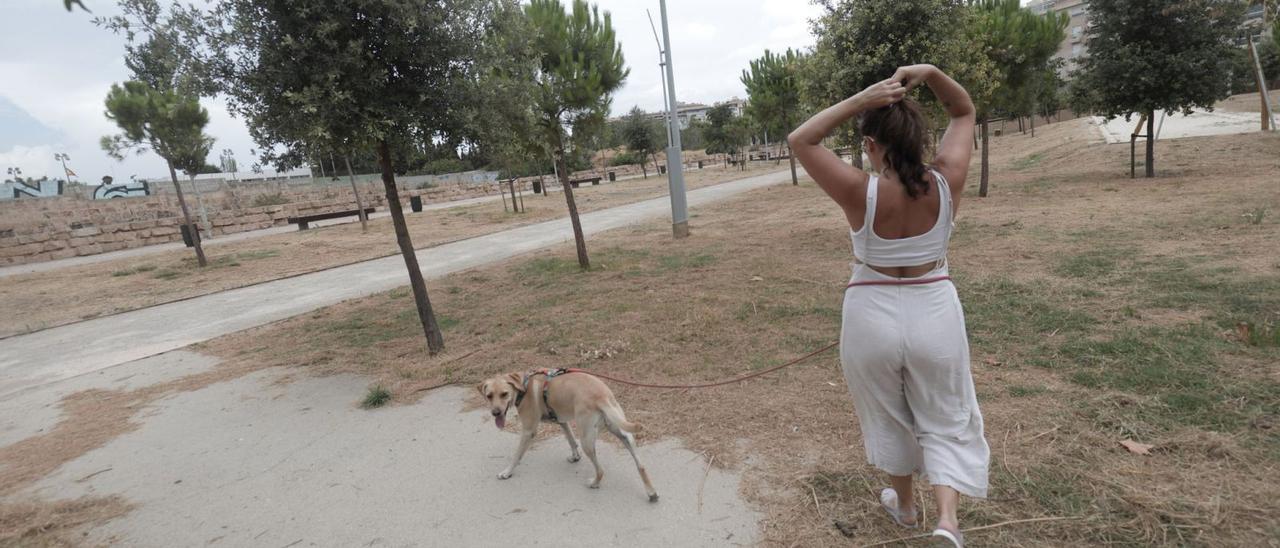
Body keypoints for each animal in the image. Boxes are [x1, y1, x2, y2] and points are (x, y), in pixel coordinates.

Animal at [481, 371, 660, 501]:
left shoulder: (528, 431)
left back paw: (594, 483)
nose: (495, 413)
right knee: (641, 465)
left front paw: (507, 472)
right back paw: (651, 492)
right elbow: (571, 440)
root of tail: (601, 396)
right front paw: (575, 456)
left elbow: (516, 455)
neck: (524, 387)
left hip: (587, 440)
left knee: (600, 470)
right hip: (621, 432)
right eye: (489, 396)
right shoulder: (562, 421)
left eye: (504, 394)